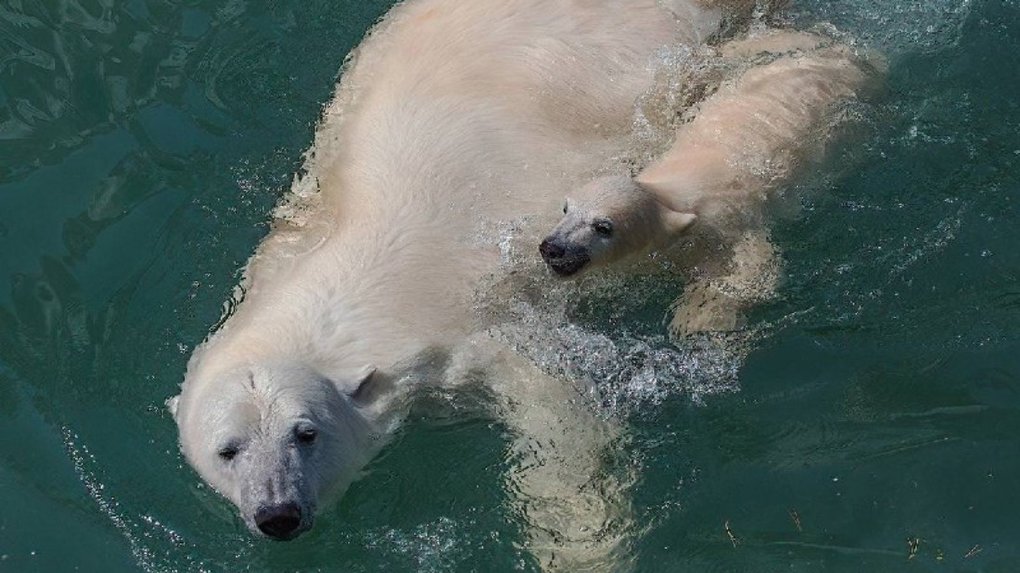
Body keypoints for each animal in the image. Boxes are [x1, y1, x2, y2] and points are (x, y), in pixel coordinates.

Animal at [173, 0, 779, 566]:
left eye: (306, 433)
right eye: (228, 450)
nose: (278, 513)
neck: (358, 278)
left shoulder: (481, 319)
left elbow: (558, 415)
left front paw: (583, 545)